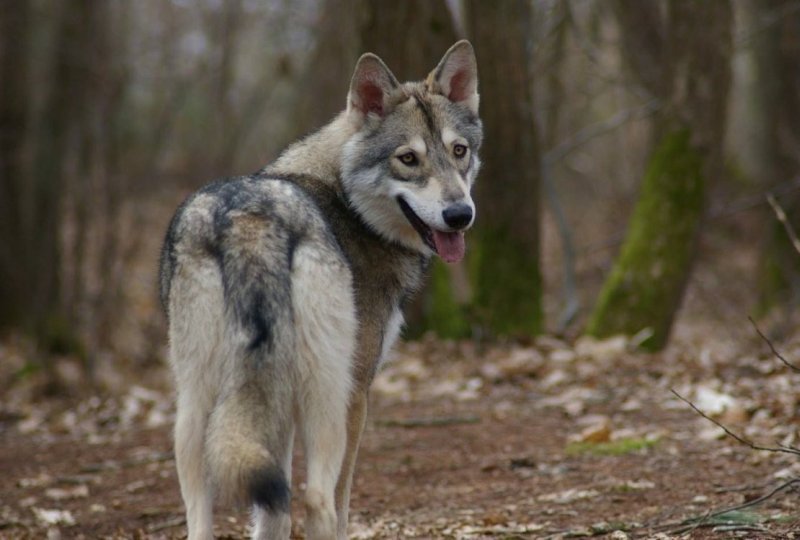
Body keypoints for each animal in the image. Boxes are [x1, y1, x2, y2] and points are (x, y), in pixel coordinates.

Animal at [159, 40, 478, 536]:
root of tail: (251, 220)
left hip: (194, 408)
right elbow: (337, 502)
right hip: (326, 397)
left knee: (205, 513)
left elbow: (271, 511)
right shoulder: (356, 391)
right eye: (408, 159)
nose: (460, 215)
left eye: (459, 151)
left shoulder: (276, 403)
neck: (348, 204)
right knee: (319, 501)